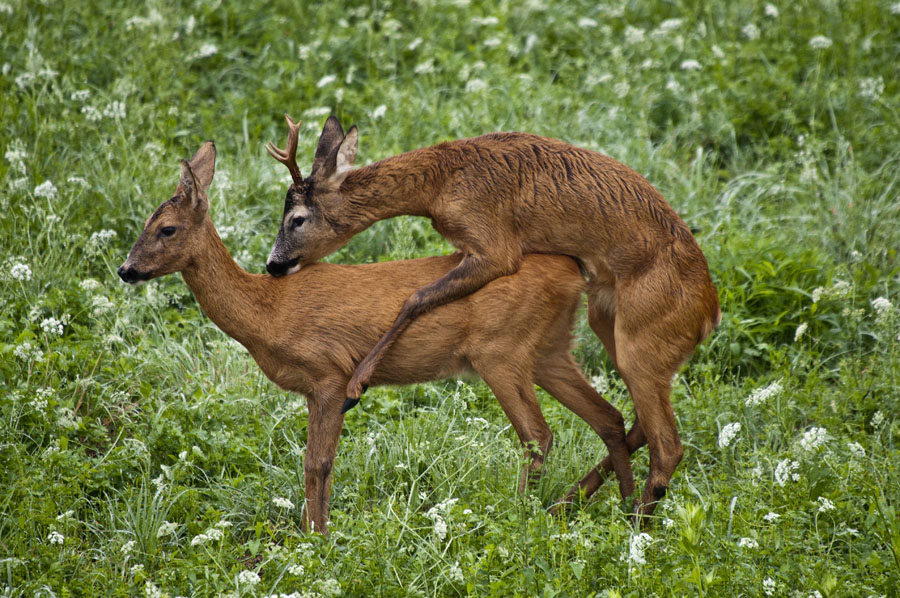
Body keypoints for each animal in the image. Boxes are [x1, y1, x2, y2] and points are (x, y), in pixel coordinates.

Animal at [118, 143, 640, 536]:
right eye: (143, 223)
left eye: (166, 228)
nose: (126, 270)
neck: (266, 311)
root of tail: (574, 271)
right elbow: (315, 464)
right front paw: (313, 531)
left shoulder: (329, 376)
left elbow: (317, 463)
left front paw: (318, 536)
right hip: (549, 350)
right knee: (608, 417)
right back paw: (625, 509)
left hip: (500, 352)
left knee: (539, 435)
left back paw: (521, 513)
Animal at [262, 115, 724, 524]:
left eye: (296, 219)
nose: (273, 265)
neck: (441, 183)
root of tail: (709, 312)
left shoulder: (494, 246)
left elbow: (415, 298)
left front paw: (357, 385)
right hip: (606, 319)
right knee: (633, 423)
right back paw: (590, 505)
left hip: (641, 340)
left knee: (668, 446)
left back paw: (631, 527)